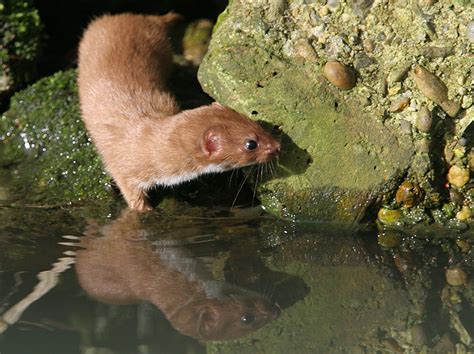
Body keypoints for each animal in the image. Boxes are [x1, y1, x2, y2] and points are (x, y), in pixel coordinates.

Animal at [76, 13, 280, 212]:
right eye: (250, 143)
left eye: (254, 122)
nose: (278, 146)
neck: (147, 142)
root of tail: (131, 17)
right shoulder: (123, 168)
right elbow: (131, 194)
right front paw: (146, 209)